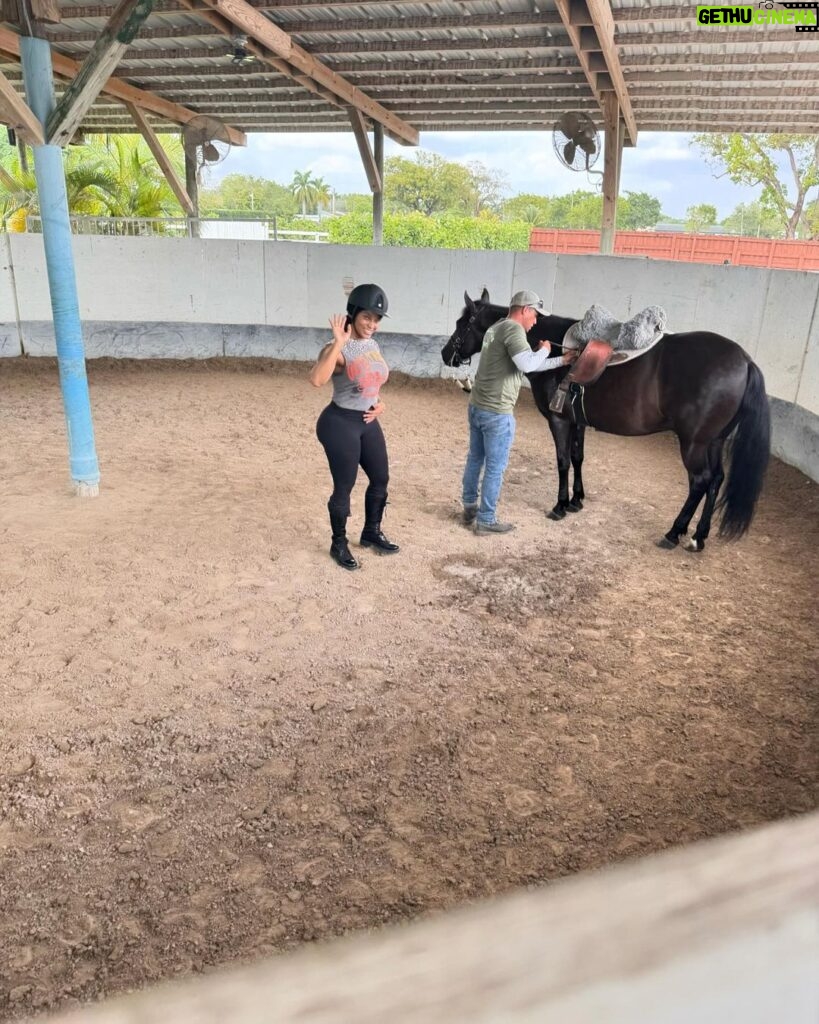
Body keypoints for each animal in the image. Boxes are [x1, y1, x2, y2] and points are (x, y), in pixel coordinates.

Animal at [442, 290, 769, 552]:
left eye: (461, 324)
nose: (446, 354)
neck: (557, 349)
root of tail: (745, 361)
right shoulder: (578, 422)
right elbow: (578, 458)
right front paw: (577, 500)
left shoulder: (559, 420)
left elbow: (562, 461)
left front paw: (560, 505)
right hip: (714, 441)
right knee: (716, 480)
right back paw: (698, 537)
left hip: (694, 443)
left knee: (700, 481)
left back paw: (674, 533)